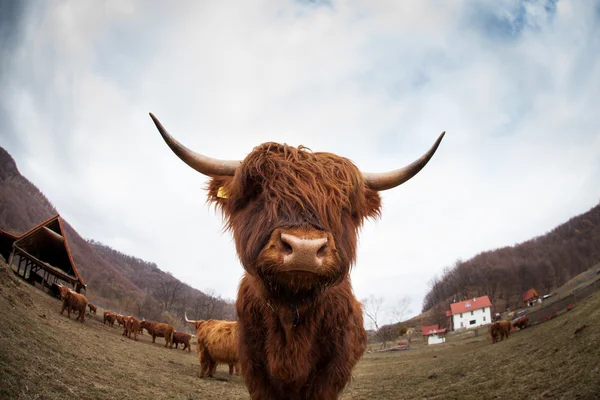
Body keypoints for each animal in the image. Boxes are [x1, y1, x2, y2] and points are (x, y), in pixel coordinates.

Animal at [151, 112, 446, 400]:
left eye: (342, 204)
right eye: (258, 191)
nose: (304, 249)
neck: (291, 312)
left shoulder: (332, 371)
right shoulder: (255, 368)